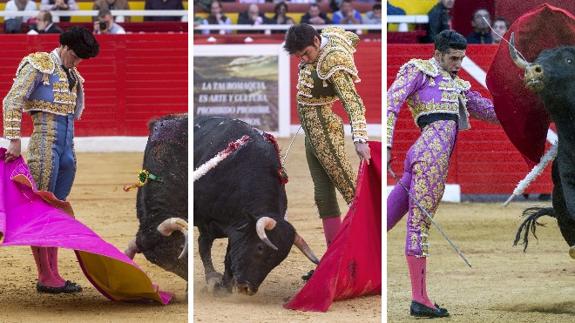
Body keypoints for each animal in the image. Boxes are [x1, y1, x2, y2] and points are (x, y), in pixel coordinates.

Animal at [194, 117, 320, 298]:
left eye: (278, 260)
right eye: (260, 247)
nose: (248, 288)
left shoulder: (238, 230)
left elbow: (230, 255)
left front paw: (225, 286)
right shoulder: (205, 222)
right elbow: (204, 245)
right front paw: (213, 280)